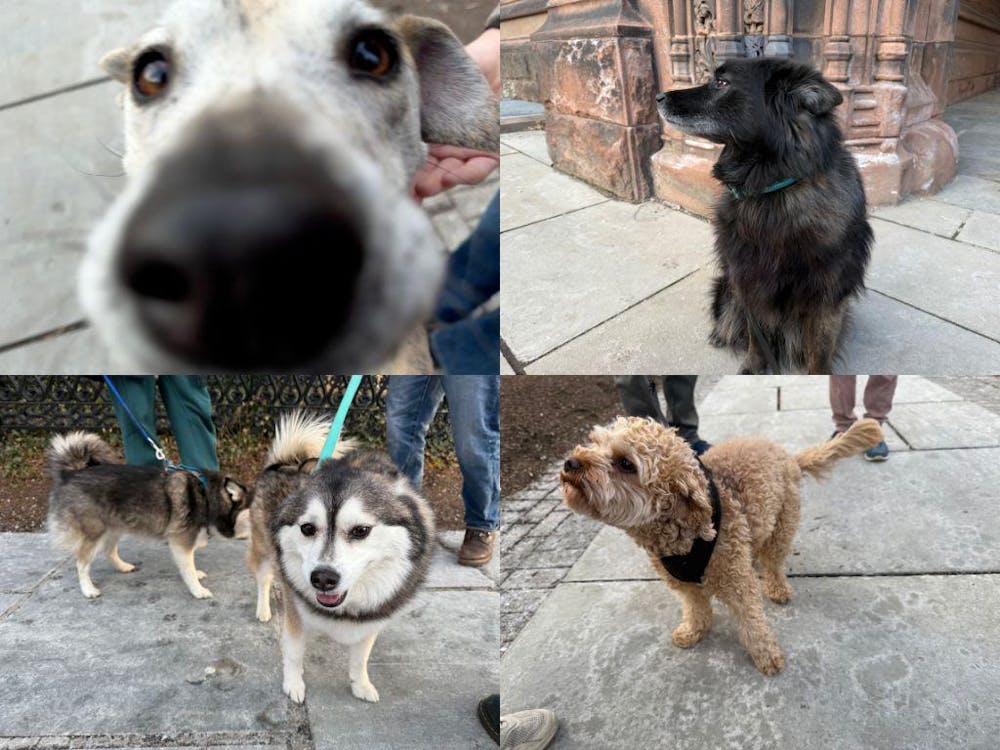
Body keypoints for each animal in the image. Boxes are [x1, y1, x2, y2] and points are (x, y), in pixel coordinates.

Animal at [45, 434, 250, 600]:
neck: (207, 495)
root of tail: (73, 473)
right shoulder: (180, 542)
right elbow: (188, 569)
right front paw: (198, 590)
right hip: (95, 532)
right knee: (81, 563)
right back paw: (88, 589)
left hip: (114, 528)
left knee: (109, 551)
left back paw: (123, 566)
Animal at [247, 418, 434, 704]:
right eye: (307, 528)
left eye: (361, 530)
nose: (323, 579)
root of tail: (282, 464)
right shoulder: (295, 616)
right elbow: (294, 653)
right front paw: (293, 684)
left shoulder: (370, 622)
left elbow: (360, 659)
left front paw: (361, 685)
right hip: (264, 550)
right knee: (263, 579)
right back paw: (264, 608)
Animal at [564, 418, 884, 676]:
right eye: (593, 442)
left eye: (625, 463)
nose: (570, 462)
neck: (681, 534)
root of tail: (788, 456)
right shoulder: (685, 586)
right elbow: (696, 609)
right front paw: (694, 631)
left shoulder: (738, 582)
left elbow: (752, 621)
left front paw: (766, 655)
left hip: (783, 524)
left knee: (774, 561)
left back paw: (777, 586)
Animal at [656, 57, 868, 374]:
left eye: (721, 83)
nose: (658, 97)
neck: (771, 191)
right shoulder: (747, 282)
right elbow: (756, 337)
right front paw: (753, 369)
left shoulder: (827, 298)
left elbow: (819, 353)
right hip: (724, 286)